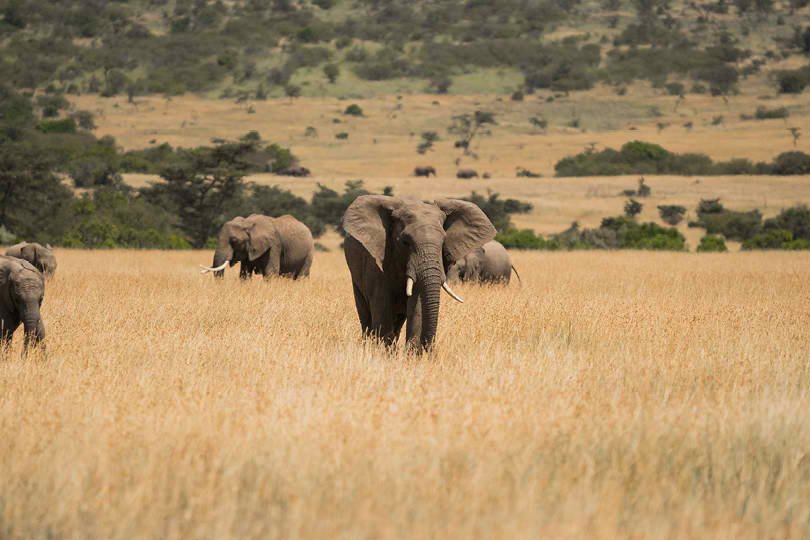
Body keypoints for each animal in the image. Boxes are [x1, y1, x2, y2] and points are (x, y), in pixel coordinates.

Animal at [340, 196, 492, 352]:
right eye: (405, 242)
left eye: (443, 242)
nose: (429, 350)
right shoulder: (377, 261)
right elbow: (382, 305)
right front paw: (383, 352)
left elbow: (417, 304)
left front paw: (411, 354)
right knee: (365, 314)